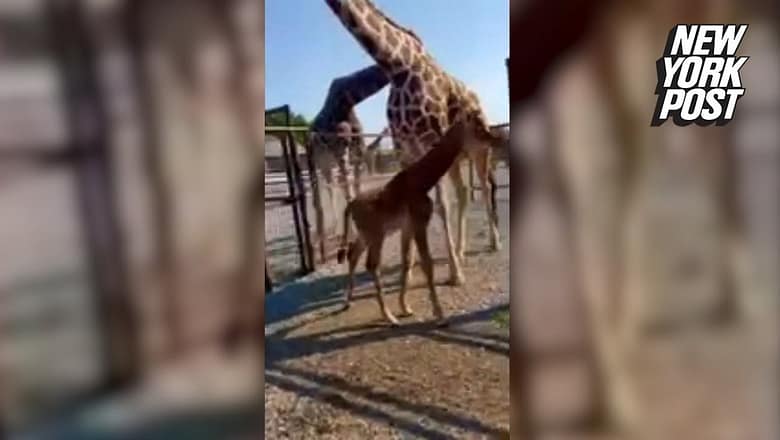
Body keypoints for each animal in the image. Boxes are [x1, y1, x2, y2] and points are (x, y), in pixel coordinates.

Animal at [308, 64, 390, 260]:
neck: (348, 99)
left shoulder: (356, 153)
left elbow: (355, 190)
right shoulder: (341, 150)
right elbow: (350, 195)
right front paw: (348, 241)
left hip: (329, 166)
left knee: (332, 188)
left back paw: (335, 231)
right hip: (320, 163)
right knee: (320, 195)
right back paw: (323, 238)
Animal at [324, 0, 504, 285]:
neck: (396, 64)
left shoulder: (430, 140)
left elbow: (442, 205)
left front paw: (455, 274)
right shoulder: (403, 147)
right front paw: (409, 271)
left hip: (479, 148)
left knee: (484, 187)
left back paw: (493, 243)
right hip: (455, 156)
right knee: (464, 191)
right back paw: (461, 250)